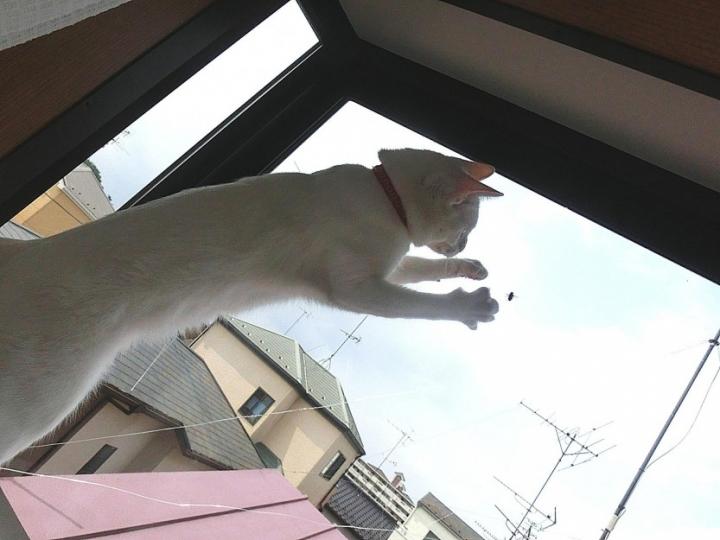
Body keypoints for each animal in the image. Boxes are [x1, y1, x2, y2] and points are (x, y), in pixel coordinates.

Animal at [0, 147, 501, 464]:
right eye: (468, 226)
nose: (464, 246)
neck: (385, 197)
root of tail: (21, 255)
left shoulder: (389, 267)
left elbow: (421, 267)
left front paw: (473, 270)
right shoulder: (356, 287)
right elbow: (423, 303)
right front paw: (474, 307)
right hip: (37, 409)